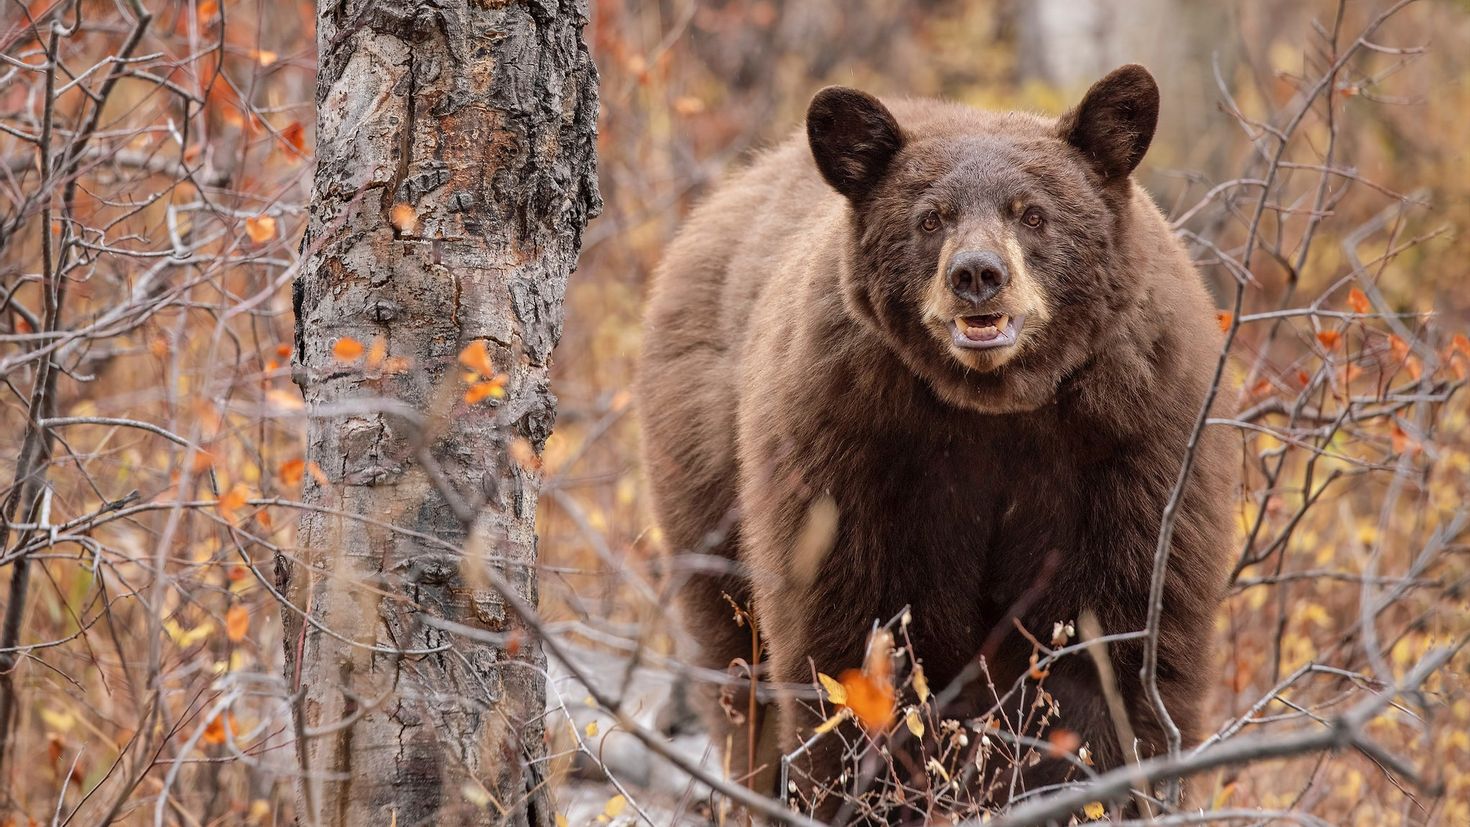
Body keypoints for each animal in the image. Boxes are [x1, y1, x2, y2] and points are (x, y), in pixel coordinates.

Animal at [637, 66, 1234, 822]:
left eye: (1032, 213)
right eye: (931, 217)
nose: (977, 274)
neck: (995, 408)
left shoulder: (1132, 449)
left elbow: (1111, 651)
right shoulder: (852, 449)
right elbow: (850, 643)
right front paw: (860, 791)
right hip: (704, 474)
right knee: (737, 671)